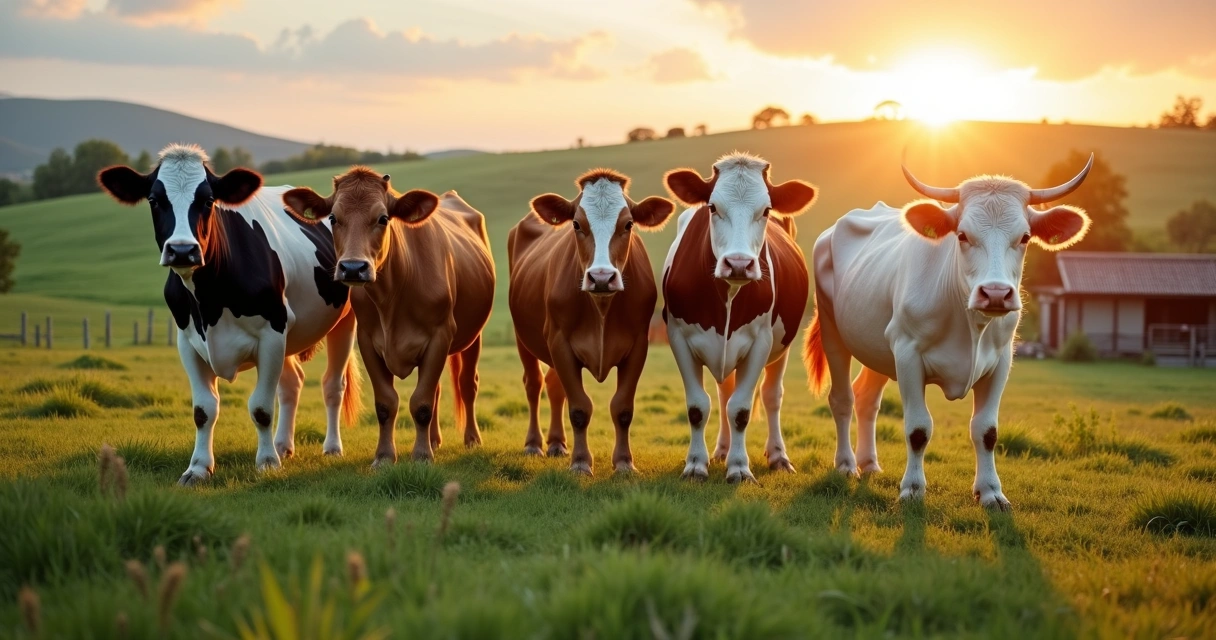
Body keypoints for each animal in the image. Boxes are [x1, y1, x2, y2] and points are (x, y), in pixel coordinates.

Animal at [97, 144, 361, 486]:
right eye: (154, 200)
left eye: (209, 200)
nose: (182, 250)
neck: (209, 302)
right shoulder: (187, 341)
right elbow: (203, 410)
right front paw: (198, 468)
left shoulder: (271, 333)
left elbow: (261, 407)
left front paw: (266, 463)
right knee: (292, 384)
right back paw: (283, 445)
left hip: (344, 320)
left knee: (332, 385)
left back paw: (330, 448)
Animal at [283, 168, 495, 465]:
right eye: (333, 218)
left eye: (383, 218)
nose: (353, 268)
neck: (392, 296)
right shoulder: (368, 340)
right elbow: (386, 403)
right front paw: (384, 456)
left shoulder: (440, 336)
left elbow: (422, 403)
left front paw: (421, 456)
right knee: (438, 389)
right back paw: (434, 439)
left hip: (473, 335)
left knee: (467, 384)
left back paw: (472, 439)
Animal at [508, 169, 675, 474]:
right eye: (576, 223)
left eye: (628, 224)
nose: (601, 277)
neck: (601, 308)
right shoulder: (560, 342)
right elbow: (579, 408)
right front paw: (581, 462)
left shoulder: (638, 346)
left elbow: (622, 408)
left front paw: (624, 462)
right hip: (523, 336)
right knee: (534, 384)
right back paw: (534, 444)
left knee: (554, 386)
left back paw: (557, 443)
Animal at [662, 153, 818, 483]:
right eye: (712, 207)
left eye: (766, 210)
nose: (738, 263)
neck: (728, 296)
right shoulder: (678, 337)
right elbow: (698, 406)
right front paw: (696, 464)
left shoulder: (761, 342)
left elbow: (741, 410)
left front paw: (739, 467)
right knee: (723, 394)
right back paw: (721, 450)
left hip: (782, 345)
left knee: (771, 396)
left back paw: (778, 456)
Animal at [803, 154, 1094, 509]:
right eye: (963, 235)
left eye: (1025, 237)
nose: (995, 293)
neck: (969, 324)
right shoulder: (908, 353)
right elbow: (918, 428)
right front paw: (912, 489)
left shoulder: (1001, 361)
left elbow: (986, 430)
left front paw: (991, 491)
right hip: (832, 329)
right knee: (842, 398)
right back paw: (846, 464)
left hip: (878, 347)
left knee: (866, 398)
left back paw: (869, 463)